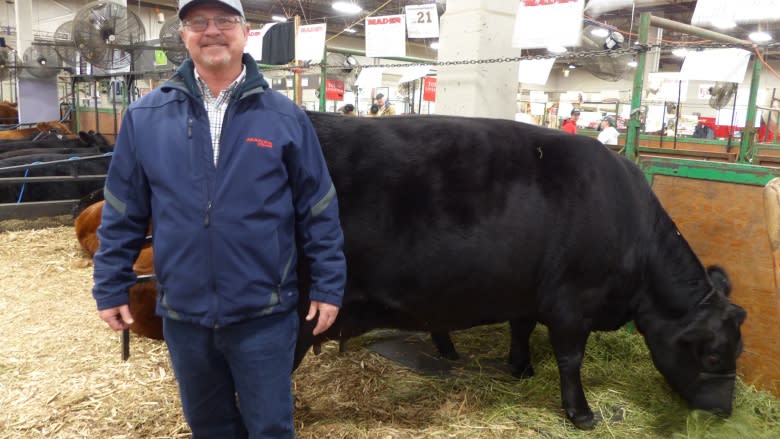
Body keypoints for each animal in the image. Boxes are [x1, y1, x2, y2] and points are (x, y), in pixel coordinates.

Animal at [294, 111, 748, 430]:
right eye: (711, 354)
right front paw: (580, 413)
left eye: (738, 350)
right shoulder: (573, 304)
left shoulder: (529, 292)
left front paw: (521, 367)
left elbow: (521, 328)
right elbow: (571, 359)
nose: (722, 411)